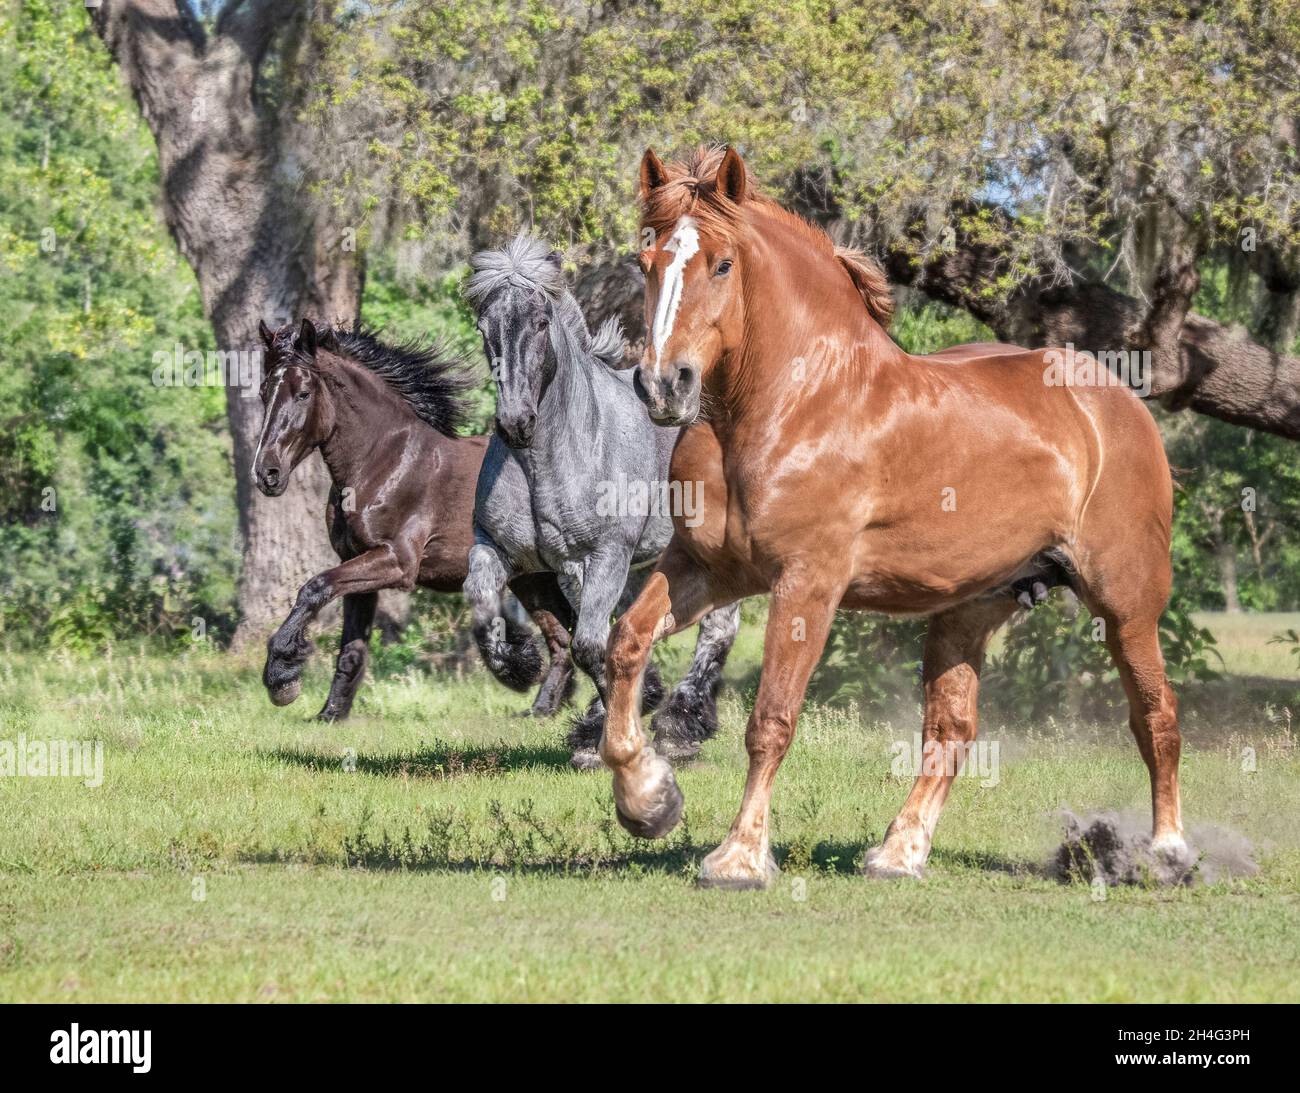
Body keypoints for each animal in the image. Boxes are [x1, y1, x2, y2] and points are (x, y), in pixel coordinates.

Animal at [251, 318, 577, 721]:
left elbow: (312, 588)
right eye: (264, 391)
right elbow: (351, 647)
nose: (266, 473)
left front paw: (282, 679)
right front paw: (330, 714)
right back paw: (543, 710)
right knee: (564, 637)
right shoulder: (357, 567)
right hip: (533, 579)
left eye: (303, 393)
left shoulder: (396, 561)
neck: (384, 462)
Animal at [462, 236, 742, 770]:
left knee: (718, 627)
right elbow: (484, 613)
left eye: (541, 322)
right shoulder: (519, 554)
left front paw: (615, 729)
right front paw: (521, 666)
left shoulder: (608, 555)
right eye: (485, 327)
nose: (515, 423)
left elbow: (591, 645)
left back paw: (682, 728)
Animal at [600, 145, 1187, 889]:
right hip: (971, 608)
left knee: (1155, 717)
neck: (796, 401)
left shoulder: (807, 585)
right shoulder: (705, 570)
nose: (662, 385)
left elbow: (771, 719)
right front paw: (648, 801)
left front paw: (737, 858)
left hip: (1126, 604)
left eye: (723, 264)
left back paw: (1168, 851)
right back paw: (898, 853)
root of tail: (1116, 402)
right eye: (646, 259)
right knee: (952, 730)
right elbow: (625, 643)